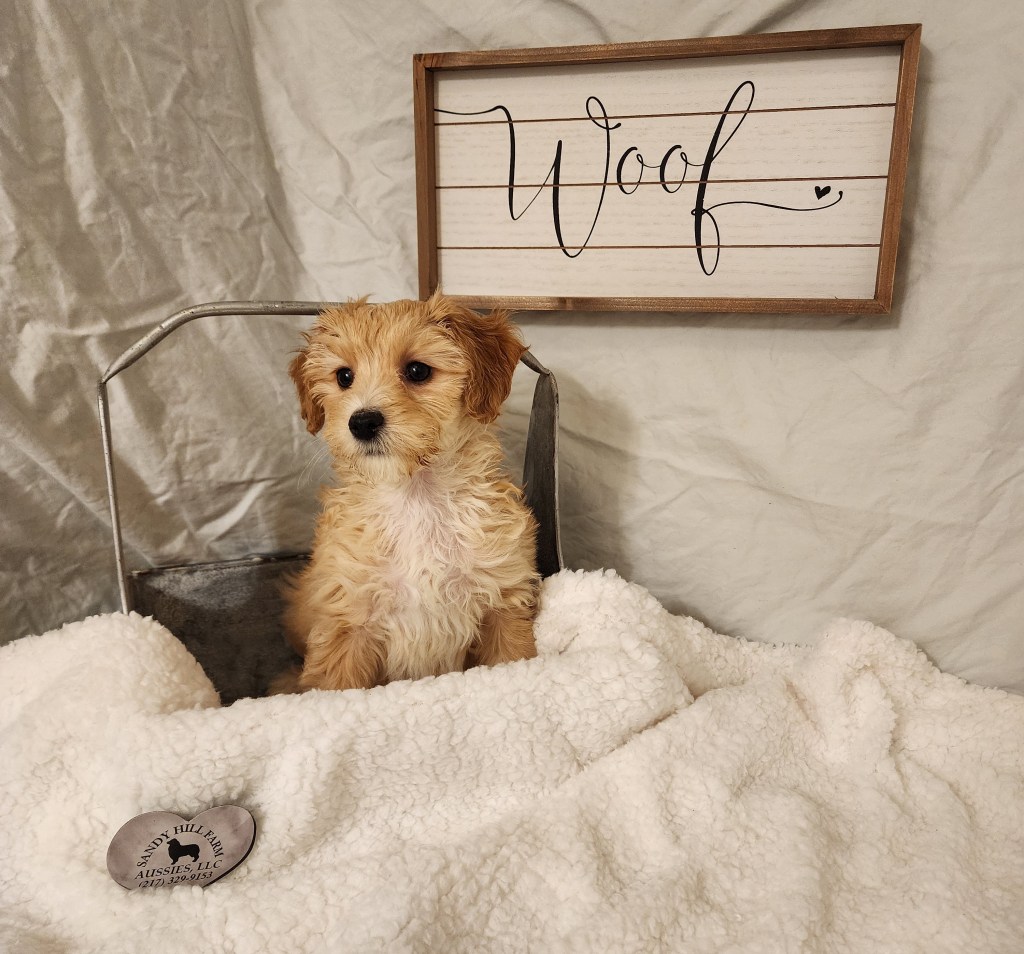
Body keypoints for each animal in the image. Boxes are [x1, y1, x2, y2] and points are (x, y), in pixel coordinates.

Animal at [278, 291, 539, 693]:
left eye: (418, 371)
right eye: (344, 376)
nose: (362, 422)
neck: (416, 496)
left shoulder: (502, 603)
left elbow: (512, 658)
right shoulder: (347, 620)